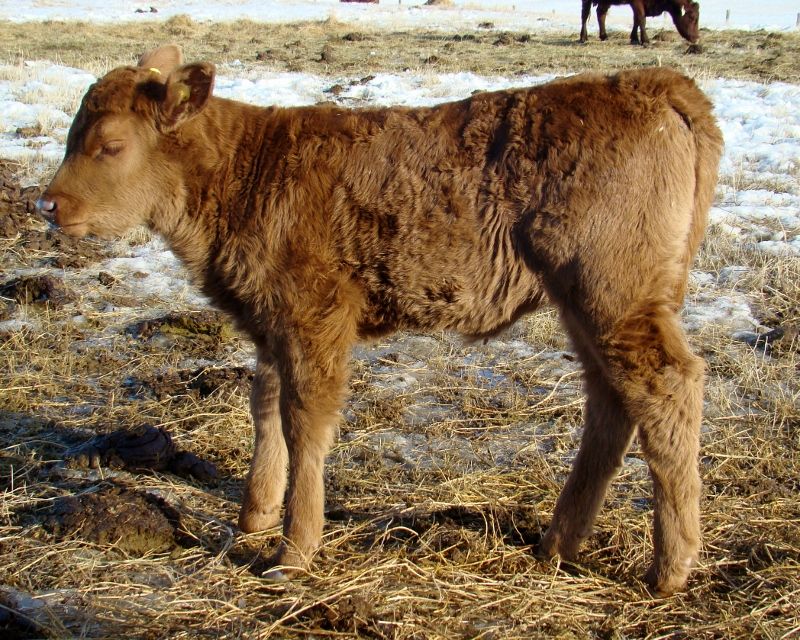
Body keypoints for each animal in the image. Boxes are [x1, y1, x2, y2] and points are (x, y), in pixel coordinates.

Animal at [37, 45, 722, 596]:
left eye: (110, 145)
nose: (48, 205)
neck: (245, 173)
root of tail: (649, 83)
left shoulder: (314, 316)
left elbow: (305, 422)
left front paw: (293, 551)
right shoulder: (271, 322)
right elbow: (264, 406)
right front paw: (254, 517)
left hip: (613, 288)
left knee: (667, 386)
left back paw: (670, 570)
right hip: (587, 300)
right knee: (611, 400)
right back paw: (558, 544)